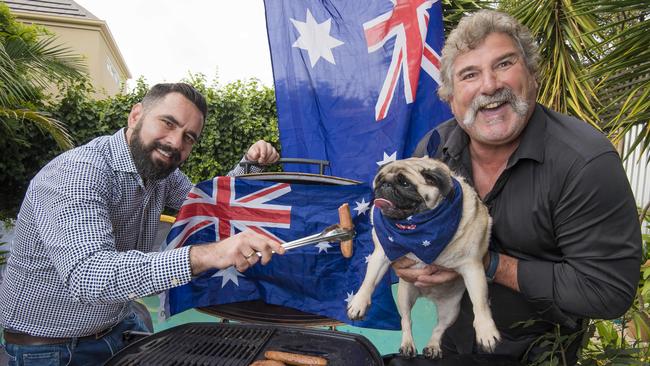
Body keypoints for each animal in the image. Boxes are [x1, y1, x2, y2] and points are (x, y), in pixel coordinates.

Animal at [346, 157, 498, 358]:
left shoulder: (472, 267)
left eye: (404, 183)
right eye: (378, 180)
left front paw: (486, 331)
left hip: (451, 310)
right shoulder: (381, 254)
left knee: (439, 328)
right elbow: (369, 280)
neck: (417, 228)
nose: (385, 185)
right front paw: (358, 302)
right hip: (405, 295)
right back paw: (408, 344)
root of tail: (429, 295)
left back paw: (433, 346)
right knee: (406, 320)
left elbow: (480, 303)